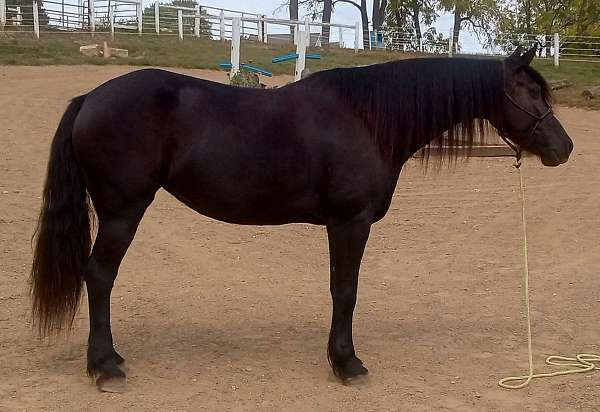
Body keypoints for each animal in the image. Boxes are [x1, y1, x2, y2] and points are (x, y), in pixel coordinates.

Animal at [29, 44, 572, 390]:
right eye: (528, 93)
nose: (563, 148)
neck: (368, 120)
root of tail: (89, 99)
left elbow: (340, 290)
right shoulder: (350, 222)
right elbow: (346, 291)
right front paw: (347, 364)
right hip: (123, 211)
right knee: (99, 276)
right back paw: (105, 368)